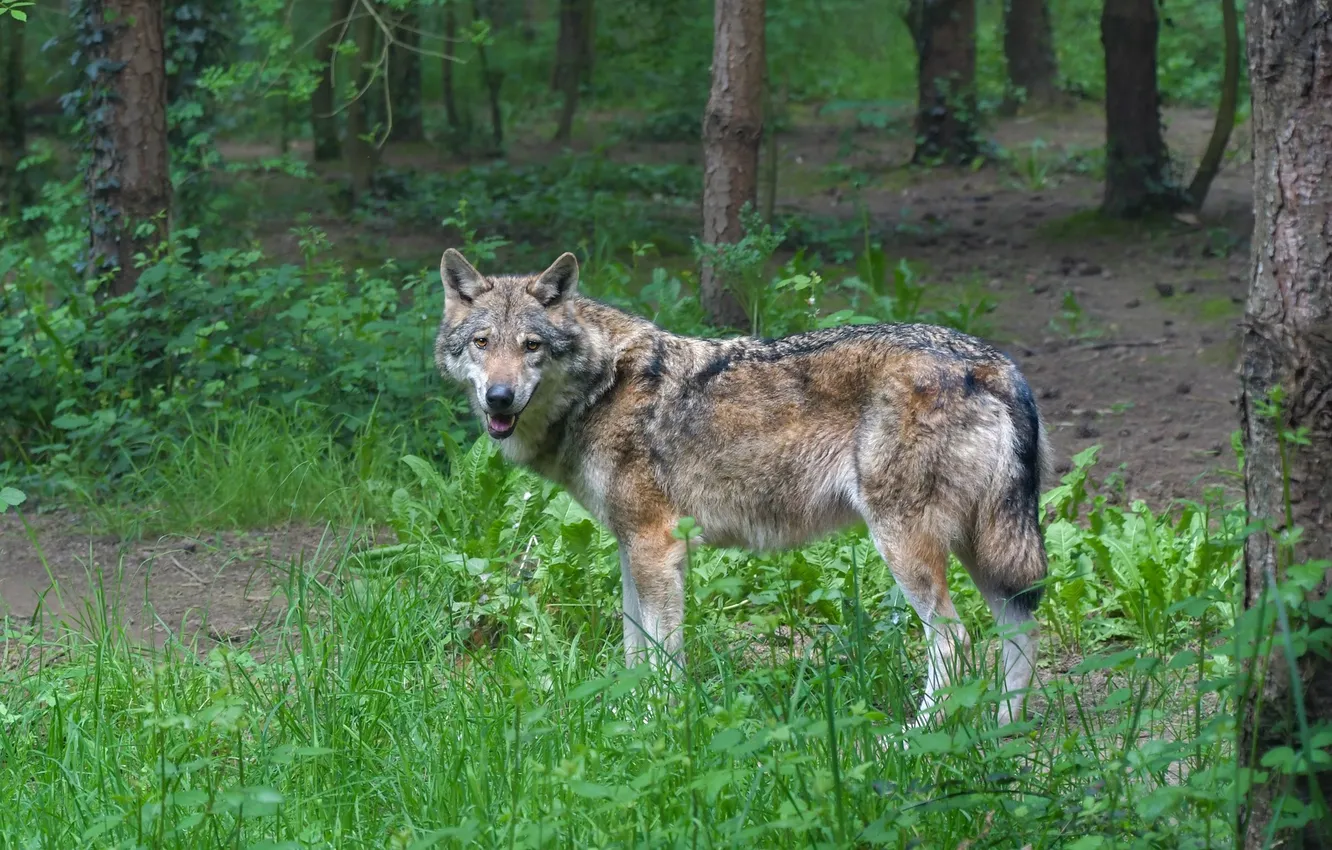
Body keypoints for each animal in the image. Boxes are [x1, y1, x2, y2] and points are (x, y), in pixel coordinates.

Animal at [434, 248, 1050, 726]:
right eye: (482, 342)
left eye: (531, 345)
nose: (499, 397)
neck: (603, 387)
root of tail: (995, 364)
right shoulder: (631, 548)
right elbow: (634, 652)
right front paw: (625, 723)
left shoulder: (657, 547)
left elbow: (663, 658)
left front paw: (658, 726)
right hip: (984, 549)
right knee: (1020, 630)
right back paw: (1002, 733)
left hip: (907, 546)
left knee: (956, 642)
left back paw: (909, 742)